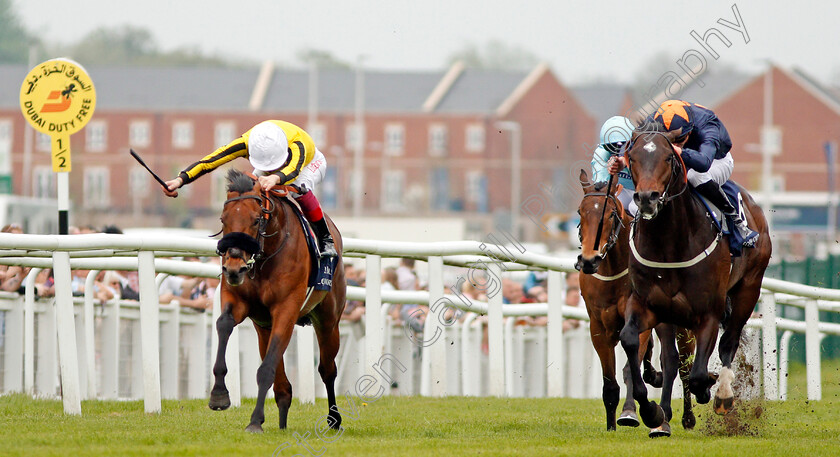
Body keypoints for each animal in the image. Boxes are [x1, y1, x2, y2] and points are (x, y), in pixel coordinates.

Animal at [212, 169, 346, 432]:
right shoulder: (237, 300)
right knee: (283, 385)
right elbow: (223, 324)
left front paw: (255, 421)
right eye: (223, 220)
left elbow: (266, 369)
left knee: (327, 370)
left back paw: (334, 419)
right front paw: (219, 395)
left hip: (328, 321)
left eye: (256, 220)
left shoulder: (286, 309)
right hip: (263, 327)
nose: (234, 269)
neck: (264, 257)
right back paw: (282, 421)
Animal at [576, 170, 696, 434]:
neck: (613, 272)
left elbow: (631, 370)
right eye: (580, 212)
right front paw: (611, 426)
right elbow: (610, 384)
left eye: (610, 213)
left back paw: (686, 417)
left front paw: (630, 413)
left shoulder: (638, 322)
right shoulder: (598, 327)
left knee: (683, 364)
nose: (589, 260)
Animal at [620, 127, 772, 428]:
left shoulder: (708, 312)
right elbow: (631, 338)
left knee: (729, 342)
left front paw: (707, 389)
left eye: (668, 157)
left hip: (748, 288)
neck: (669, 243)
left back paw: (723, 394)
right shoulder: (647, 304)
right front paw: (651, 411)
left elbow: (700, 372)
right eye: (632, 157)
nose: (647, 198)